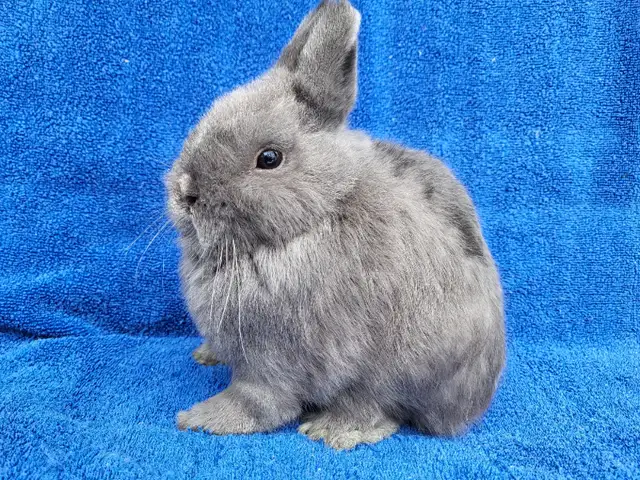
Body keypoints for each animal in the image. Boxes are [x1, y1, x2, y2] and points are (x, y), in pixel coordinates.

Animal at [165, 0, 505, 450]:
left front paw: (200, 419)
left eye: (269, 158)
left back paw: (331, 431)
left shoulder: (270, 356)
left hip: (390, 368)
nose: (186, 192)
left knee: (376, 408)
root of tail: (468, 407)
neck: (316, 217)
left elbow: (258, 401)